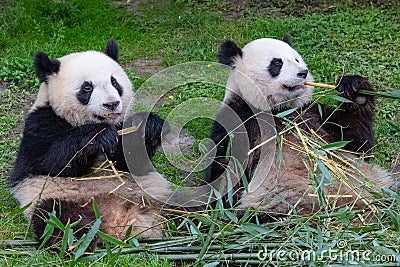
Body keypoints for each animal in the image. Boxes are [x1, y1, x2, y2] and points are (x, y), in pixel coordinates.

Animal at [8, 39, 174, 249]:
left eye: (114, 82)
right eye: (87, 88)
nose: (111, 104)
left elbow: (130, 162)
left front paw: (149, 126)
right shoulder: (38, 126)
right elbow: (49, 161)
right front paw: (98, 136)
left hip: (159, 196)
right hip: (58, 199)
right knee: (57, 218)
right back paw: (83, 239)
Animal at [206, 36, 396, 223]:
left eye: (296, 59)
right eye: (277, 63)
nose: (303, 72)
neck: (277, 109)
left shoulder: (311, 113)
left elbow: (356, 144)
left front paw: (355, 89)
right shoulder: (238, 119)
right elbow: (224, 169)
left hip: (379, 182)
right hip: (277, 208)